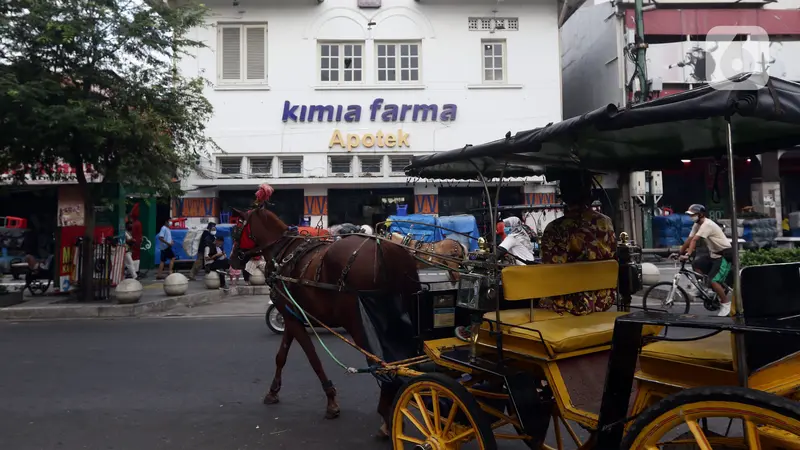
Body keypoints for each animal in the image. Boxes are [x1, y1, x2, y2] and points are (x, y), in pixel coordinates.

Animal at [227, 207, 418, 436]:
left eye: (237, 229)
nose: (233, 260)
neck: (283, 255)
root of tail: (387, 252)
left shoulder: (291, 317)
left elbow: (313, 358)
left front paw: (331, 400)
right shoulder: (292, 315)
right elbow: (281, 356)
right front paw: (273, 391)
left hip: (359, 322)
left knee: (385, 364)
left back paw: (388, 416)